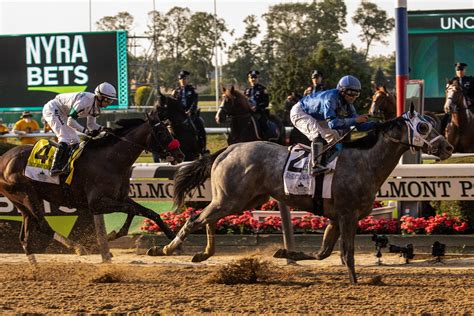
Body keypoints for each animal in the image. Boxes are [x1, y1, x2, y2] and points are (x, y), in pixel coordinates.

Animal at [0, 111, 183, 264]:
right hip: (28, 195)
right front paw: (108, 238)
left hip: (21, 201)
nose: (180, 155)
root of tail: (4, 158)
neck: (110, 160)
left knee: (26, 235)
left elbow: (147, 212)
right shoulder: (97, 204)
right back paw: (79, 247)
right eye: (162, 133)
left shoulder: (120, 197)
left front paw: (171, 239)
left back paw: (36, 268)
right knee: (42, 225)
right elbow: (134, 210)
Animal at [151, 107, 452, 286]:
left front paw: (285, 251)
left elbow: (324, 253)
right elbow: (346, 252)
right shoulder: (348, 215)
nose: (448, 148)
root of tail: (228, 149)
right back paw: (165, 249)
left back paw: (203, 254)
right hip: (231, 199)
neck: (365, 161)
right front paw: (355, 280)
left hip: (243, 200)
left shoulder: (335, 217)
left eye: (434, 124)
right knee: (195, 219)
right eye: (423, 127)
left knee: (207, 220)